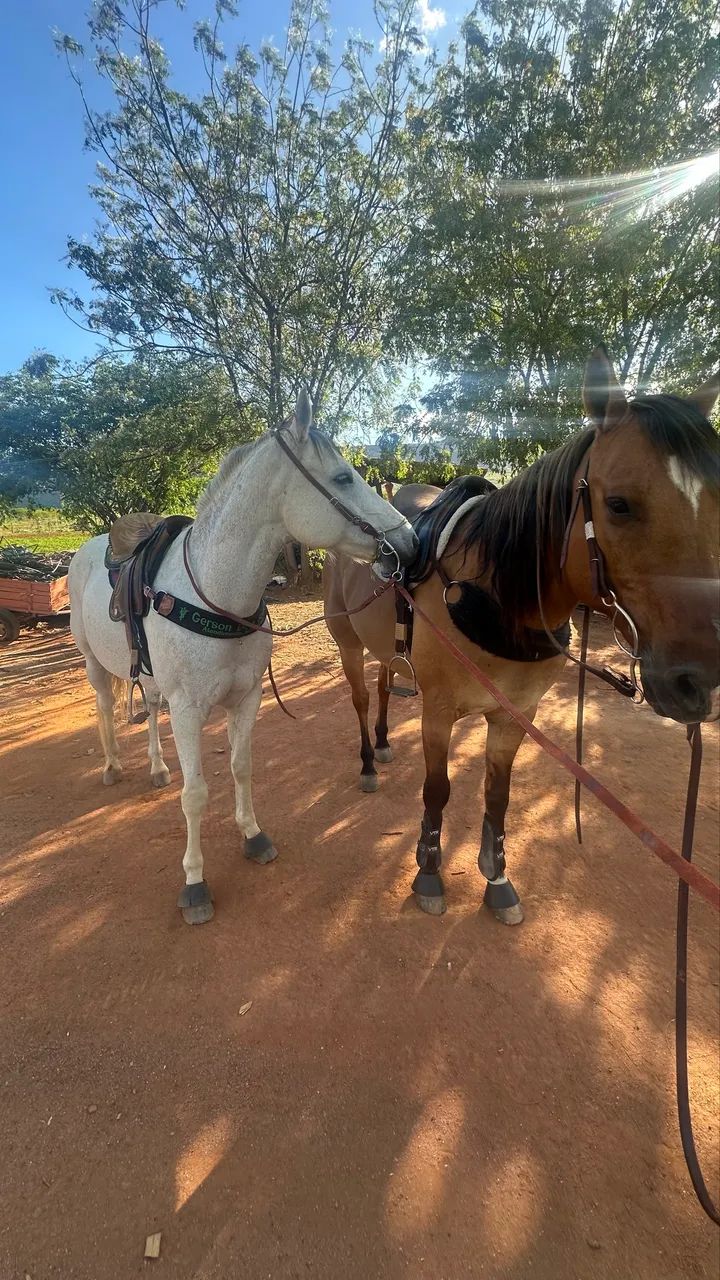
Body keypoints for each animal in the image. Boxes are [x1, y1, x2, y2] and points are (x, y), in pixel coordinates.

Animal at [69, 391, 417, 923]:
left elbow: (240, 767)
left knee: (148, 708)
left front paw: (252, 836)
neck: (215, 595)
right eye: (342, 478)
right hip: (92, 662)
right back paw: (112, 766)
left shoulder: (247, 697)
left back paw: (156, 768)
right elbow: (195, 795)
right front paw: (194, 882)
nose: (408, 542)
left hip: (150, 678)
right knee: (106, 708)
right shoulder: (189, 710)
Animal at [323, 348, 720, 921]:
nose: (697, 679)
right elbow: (437, 790)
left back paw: (381, 741)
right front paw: (428, 872)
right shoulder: (439, 710)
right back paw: (367, 761)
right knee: (358, 696)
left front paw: (497, 876)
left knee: (381, 684)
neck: (493, 596)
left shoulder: (516, 714)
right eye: (619, 504)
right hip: (347, 642)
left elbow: (497, 794)